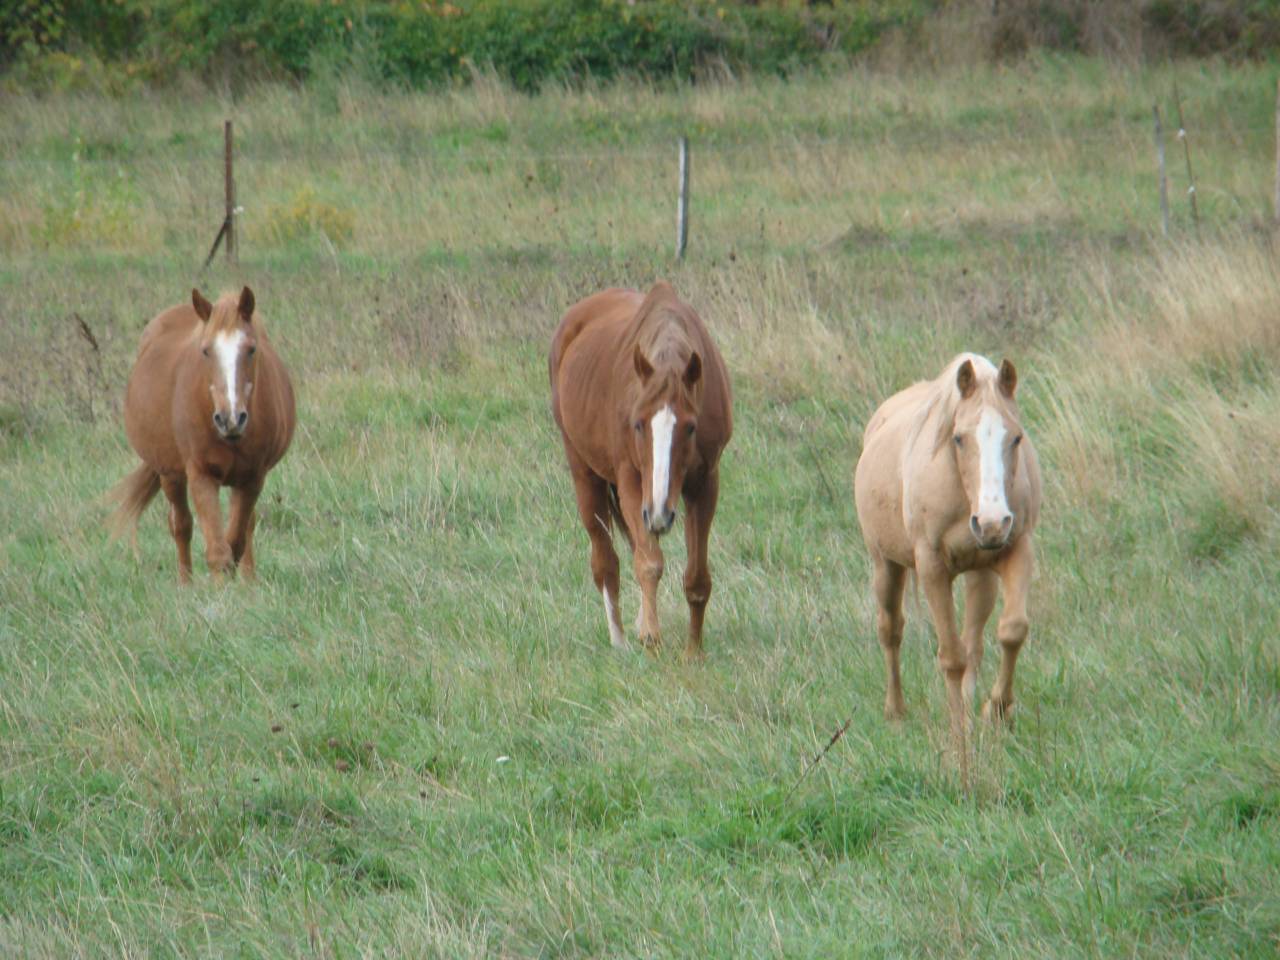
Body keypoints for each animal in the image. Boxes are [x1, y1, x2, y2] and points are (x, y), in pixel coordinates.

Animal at [109, 287, 296, 583]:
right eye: (206, 351)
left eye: (251, 349)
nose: (230, 418)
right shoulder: (201, 476)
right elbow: (218, 551)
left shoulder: (252, 478)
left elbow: (236, 541)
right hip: (170, 475)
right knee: (180, 525)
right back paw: (185, 584)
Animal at [549, 282, 733, 660]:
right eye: (636, 424)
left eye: (691, 427)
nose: (660, 513)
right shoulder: (632, 484)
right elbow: (648, 563)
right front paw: (651, 637)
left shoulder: (705, 484)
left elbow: (696, 577)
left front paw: (693, 651)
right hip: (586, 476)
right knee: (607, 562)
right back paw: (619, 639)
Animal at [854, 353, 1041, 758]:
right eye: (958, 438)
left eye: (1016, 437)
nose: (991, 523)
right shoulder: (932, 567)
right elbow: (951, 657)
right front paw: (958, 735)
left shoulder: (1016, 548)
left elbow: (1011, 631)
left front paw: (995, 711)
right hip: (886, 565)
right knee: (890, 630)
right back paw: (896, 711)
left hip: (980, 573)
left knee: (974, 644)